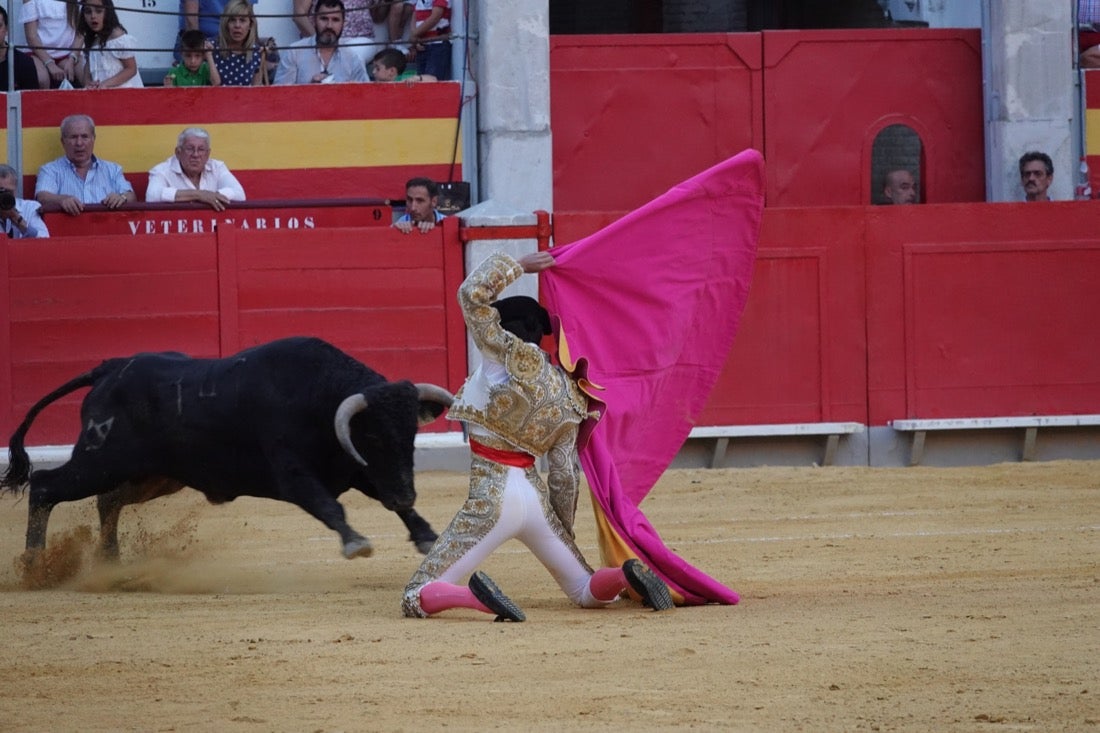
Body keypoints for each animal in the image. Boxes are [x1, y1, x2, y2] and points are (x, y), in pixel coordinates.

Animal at [0, 336, 455, 559]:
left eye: (411, 436)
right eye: (373, 436)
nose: (405, 493)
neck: (319, 397)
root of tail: (110, 369)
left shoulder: (358, 469)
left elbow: (389, 503)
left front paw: (426, 536)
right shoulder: (294, 475)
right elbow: (330, 507)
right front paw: (355, 543)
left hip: (155, 475)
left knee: (107, 501)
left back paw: (109, 560)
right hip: (102, 459)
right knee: (46, 485)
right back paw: (36, 565)